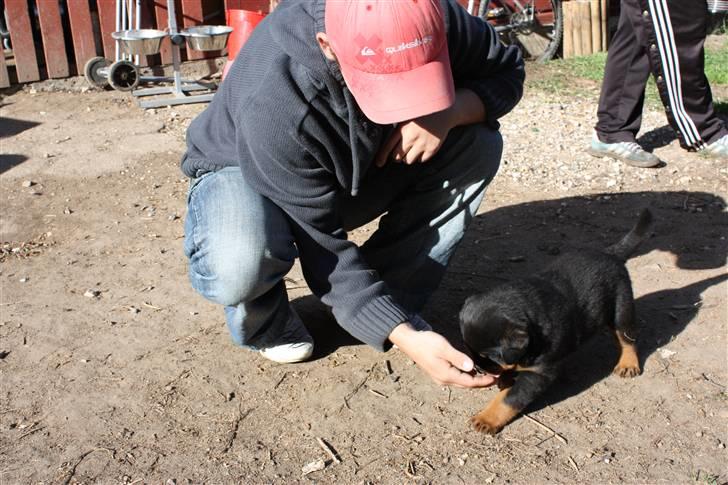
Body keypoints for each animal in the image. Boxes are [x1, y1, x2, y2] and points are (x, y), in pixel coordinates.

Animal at [458, 207, 652, 432]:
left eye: (490, 357)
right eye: (468, 350)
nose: (478, 368)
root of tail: (611, 253)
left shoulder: (538, 374)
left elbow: (509, 399)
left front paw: (486, 418)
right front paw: (506, 379)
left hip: (621, 308)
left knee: (627, 336)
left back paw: (628, 364)